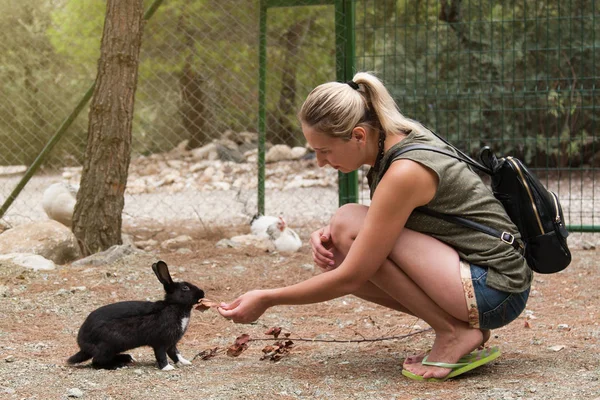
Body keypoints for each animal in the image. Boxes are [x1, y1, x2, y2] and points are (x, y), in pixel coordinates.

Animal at [67, 260, 205, 370]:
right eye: (185, 288)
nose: (202, 293)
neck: (174, 306)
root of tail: (83, 345)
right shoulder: (161, 341)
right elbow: (162, 355)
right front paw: (167, 368)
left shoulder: (172, 343)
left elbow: (176, 354)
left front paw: (185, 362)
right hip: (107, 346)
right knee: (97, 362)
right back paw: (118, 365)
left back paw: (127, 358)